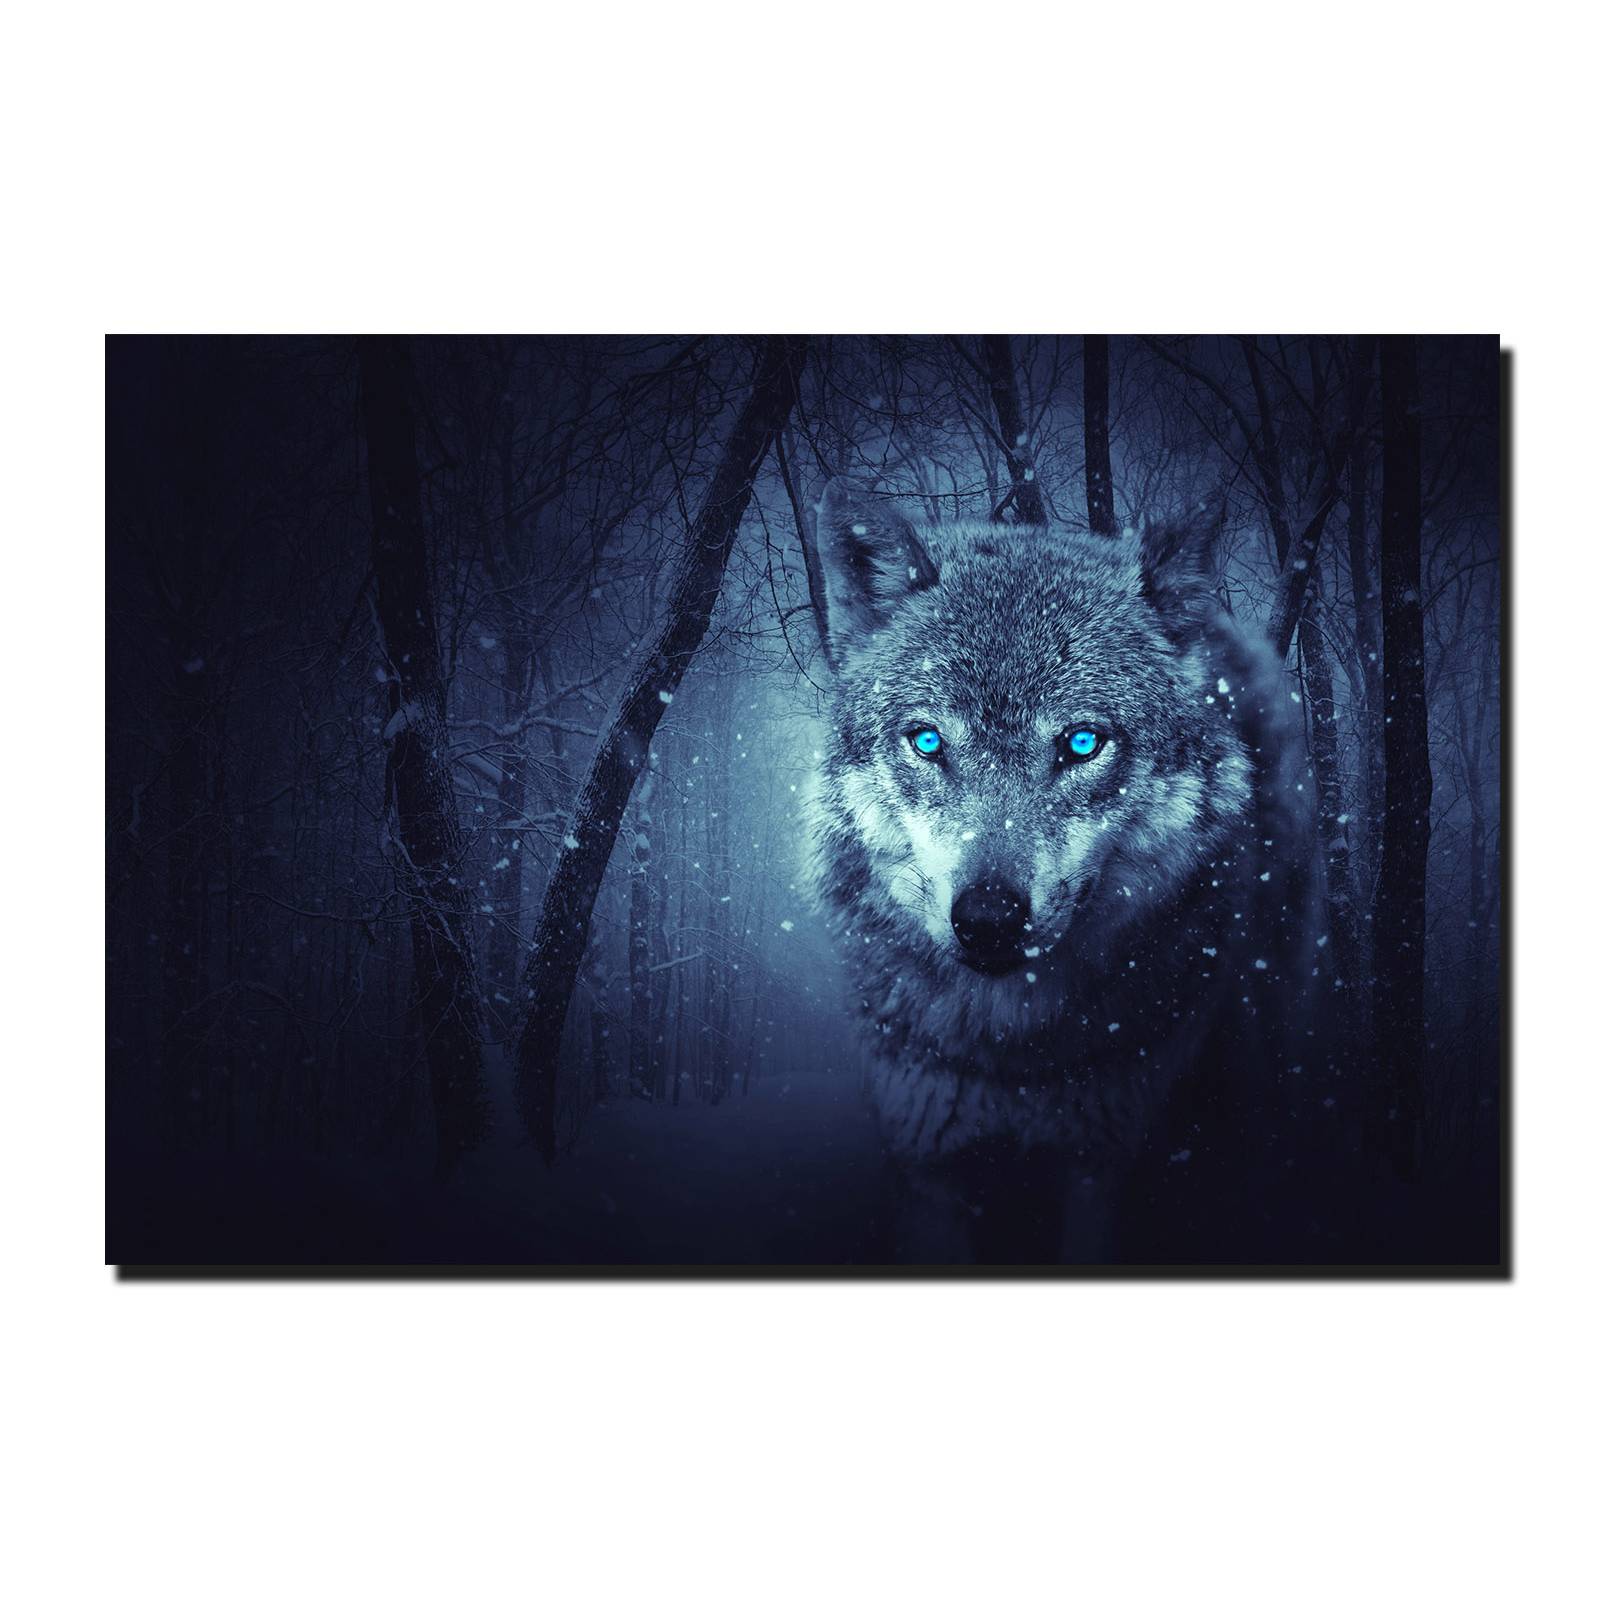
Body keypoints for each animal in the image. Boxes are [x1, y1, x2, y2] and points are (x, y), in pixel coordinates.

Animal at [804, 478, 1321, 1263]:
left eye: (1081, 743)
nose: (988, 918)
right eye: (927, 741)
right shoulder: (929, 1167)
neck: (1012, 1057)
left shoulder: (1101, 1167)